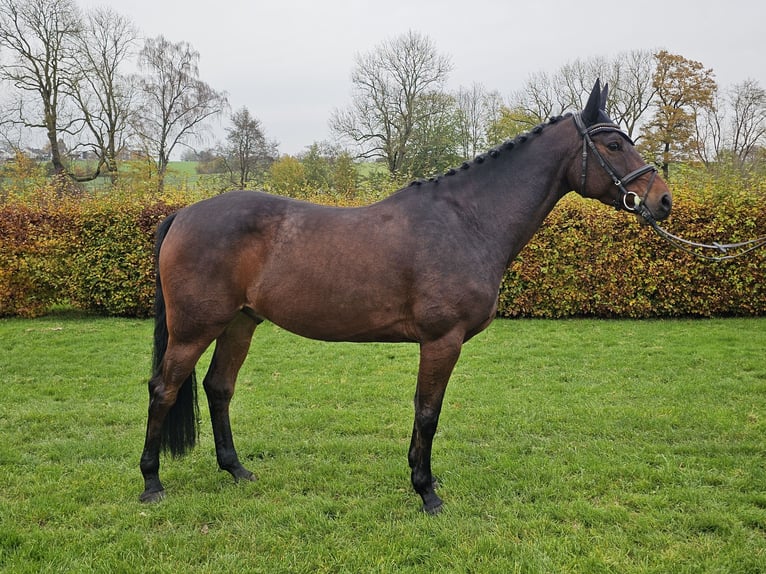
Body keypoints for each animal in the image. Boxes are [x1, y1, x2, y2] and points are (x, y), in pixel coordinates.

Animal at [138, 80, 672, 512]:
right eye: (613, 143)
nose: (662, 200)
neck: (467, 221)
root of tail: (183, 215)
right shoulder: (442, 340)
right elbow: (428, 412)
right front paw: (427, 491)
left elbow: (423, 412)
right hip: (195, 328)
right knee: (164, 389)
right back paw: (151, 483)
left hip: (240, 323)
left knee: (218, 388)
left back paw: (236, 469)